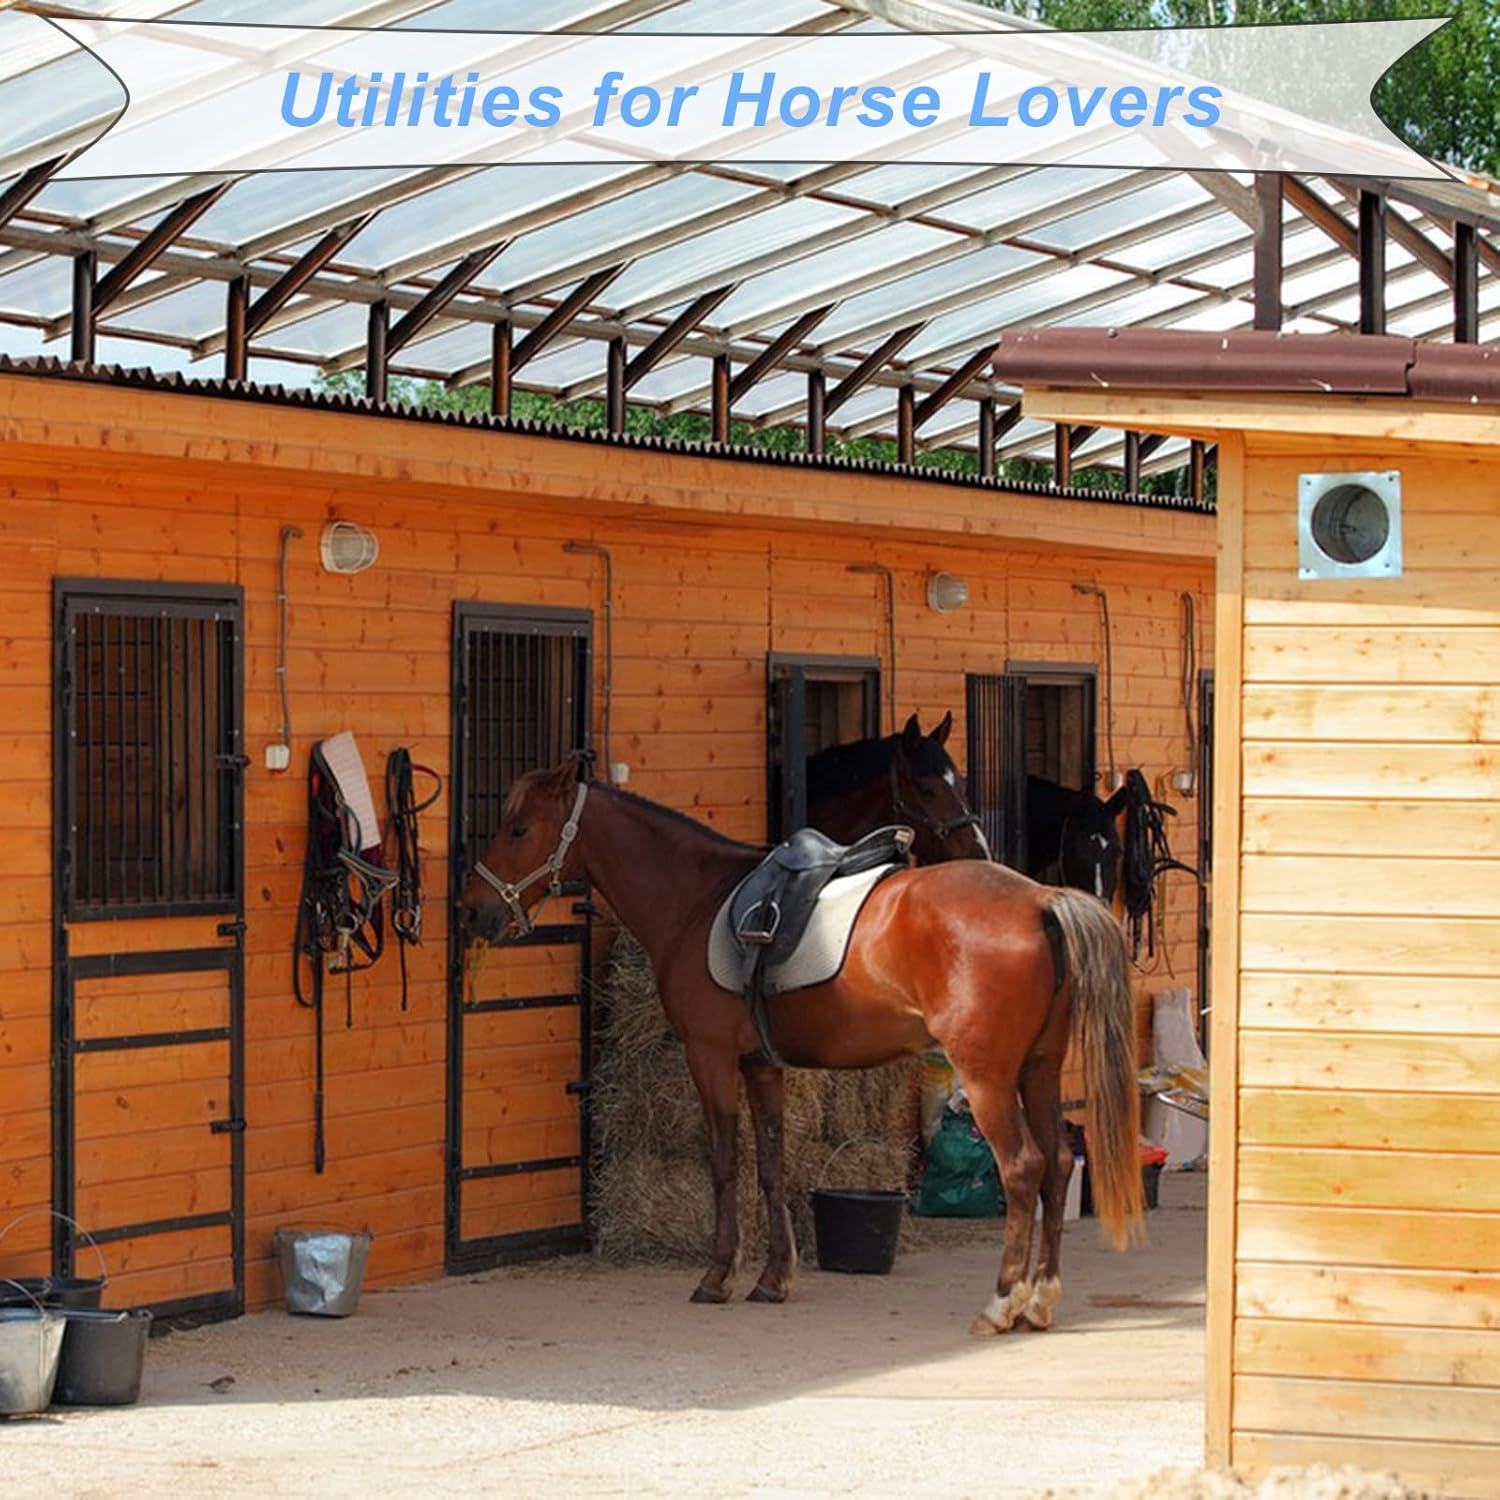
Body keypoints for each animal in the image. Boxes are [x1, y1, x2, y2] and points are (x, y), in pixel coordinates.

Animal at [460, 756, 1144, 1336]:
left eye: (517, 829)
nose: (475, 912)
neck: (698, 898)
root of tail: (1041, 899)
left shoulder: (710, 1057)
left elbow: (724, 1162)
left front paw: (717, 1276)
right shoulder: (762, 1067)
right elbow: (770, 1165)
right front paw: (773, 1278)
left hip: (987, 1079)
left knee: (1023, 1168)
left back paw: (1002, 1303)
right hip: (1039, 1071)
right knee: (1058, 1164)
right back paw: (1040, 1300)